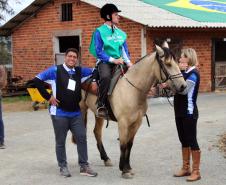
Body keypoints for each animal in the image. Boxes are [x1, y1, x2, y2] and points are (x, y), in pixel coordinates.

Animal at [78, 41, 186, 178]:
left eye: (177, 62)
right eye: (168, 64)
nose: (183, 86)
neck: (132, 89)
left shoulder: (136, 122)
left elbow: (129, 144)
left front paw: (128, 167)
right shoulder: (123, 123)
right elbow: (123, 145)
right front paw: (123, 170)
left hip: (99, 115)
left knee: (97, 132)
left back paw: (106, 158)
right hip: (81, 110)